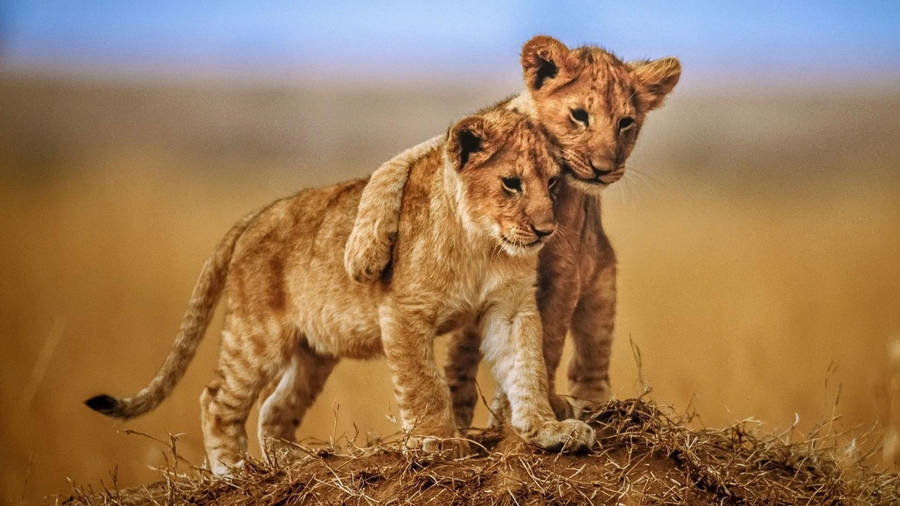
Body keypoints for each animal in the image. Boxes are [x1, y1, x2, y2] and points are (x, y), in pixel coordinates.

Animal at [84, 108, 595, 476]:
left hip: (313, 351)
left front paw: (549, 429)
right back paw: (232, 472)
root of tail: (257, 214)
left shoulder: (510, 309)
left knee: (274, 408)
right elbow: (424, 384)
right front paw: (437, 441)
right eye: (511, 183)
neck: (481, 244)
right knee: (217, 399)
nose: (546, 230)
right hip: (256, 335)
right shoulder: (403, 311)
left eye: (552, 182)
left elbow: (527, 367)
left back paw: (295, 462)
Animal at [343, 36, 681, 426]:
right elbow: (390, 168)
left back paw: (592, 406)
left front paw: (527, 410)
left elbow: (546, 343)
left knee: (590, 360)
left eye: (626, 123)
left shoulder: (564, 272)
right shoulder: (452, 145)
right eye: (580, 115)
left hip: (601, 286)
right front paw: (363, 254)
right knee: (460, 358)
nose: (603, 168)